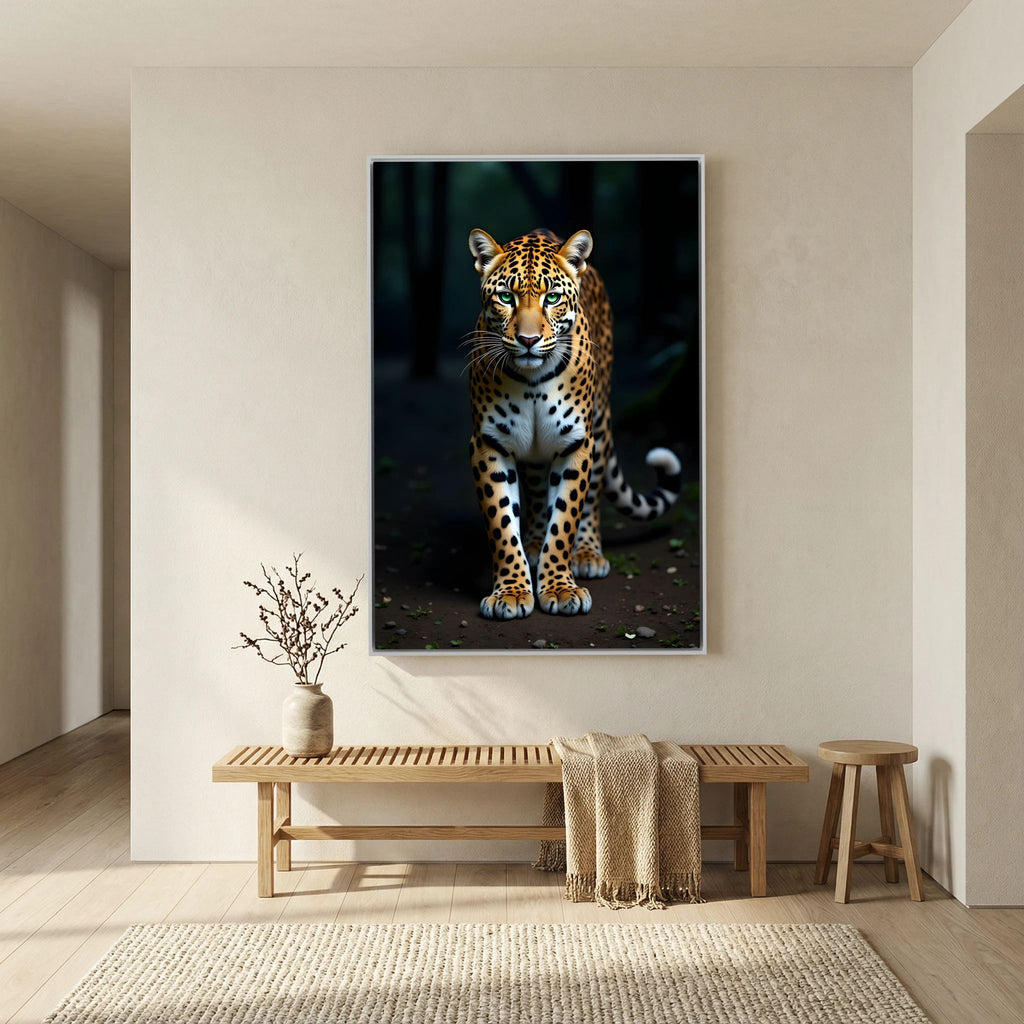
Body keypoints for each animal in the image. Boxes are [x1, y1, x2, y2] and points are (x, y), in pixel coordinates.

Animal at [465, 227, 682, 620]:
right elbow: (502, 523)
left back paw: (587, 554)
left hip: (599, 427)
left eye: (552, 297)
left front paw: (560, 588)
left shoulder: (575, 444)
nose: (528, 340)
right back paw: (534, 544)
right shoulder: (489, 444)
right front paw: (512, 591)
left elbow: (565, 518)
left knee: (592, 496)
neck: (532, 381)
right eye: (505, 296)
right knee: (537, 494)